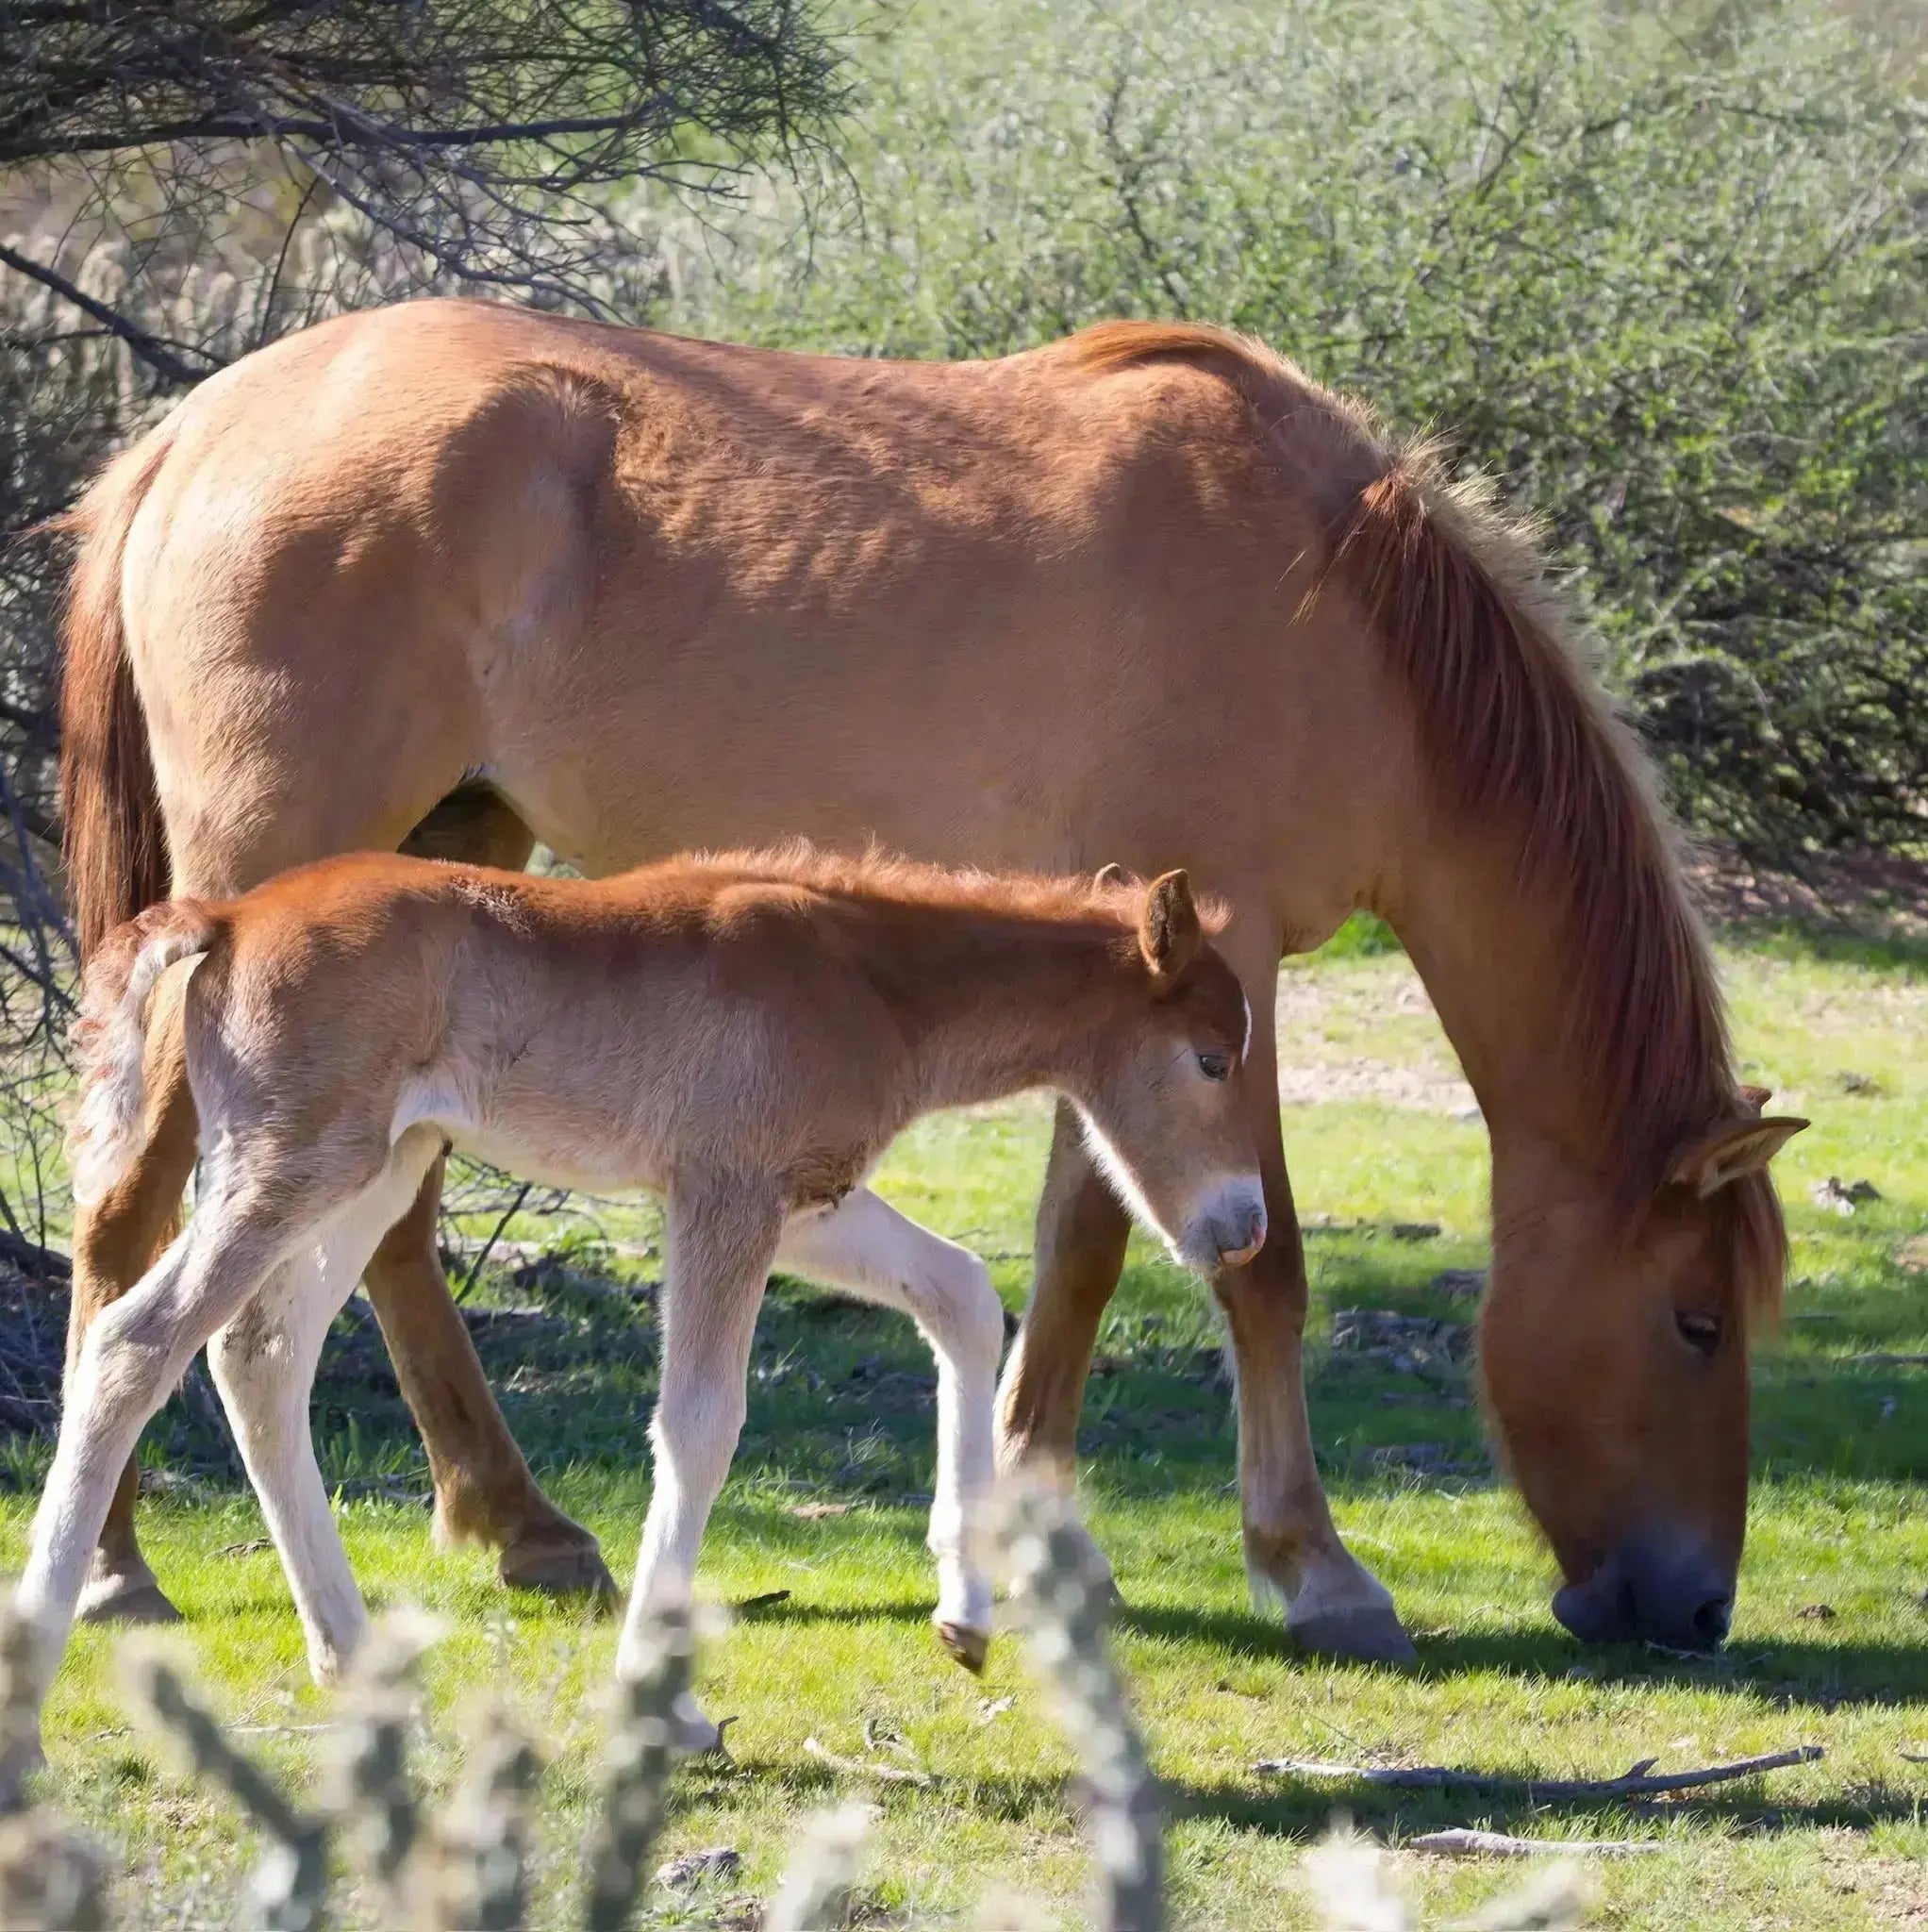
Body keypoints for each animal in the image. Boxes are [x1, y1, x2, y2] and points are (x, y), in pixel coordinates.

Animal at [22, 849, 1262, 1736]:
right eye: (1209, 1058)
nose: (1242, 1227)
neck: (861, 975)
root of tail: (226, 919)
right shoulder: (724, 1191)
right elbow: (702, 1420)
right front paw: (660, 1700)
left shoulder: (806, 1198)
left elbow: (959, 1289)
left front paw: (963, 1612)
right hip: (292, 1165)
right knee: (138, 1339)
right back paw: (37, 1655)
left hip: (375, 1171)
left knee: (260, 1355)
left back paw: (349, 1651)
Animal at [54, 301, 1804, 1657]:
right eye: (1695, 1320)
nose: (1698, 1607)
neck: (1339, 612)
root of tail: (192, 430)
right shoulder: (1218, 958)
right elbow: (1256, 1265)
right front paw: (1312, 1567)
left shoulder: (1135, 998)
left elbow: (1080, 1245)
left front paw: (1022, 1523)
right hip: (269, 884)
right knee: (135, 1230)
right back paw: (118, 1568)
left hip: (448, 859)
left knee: (389, 1233)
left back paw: (518, 1521)